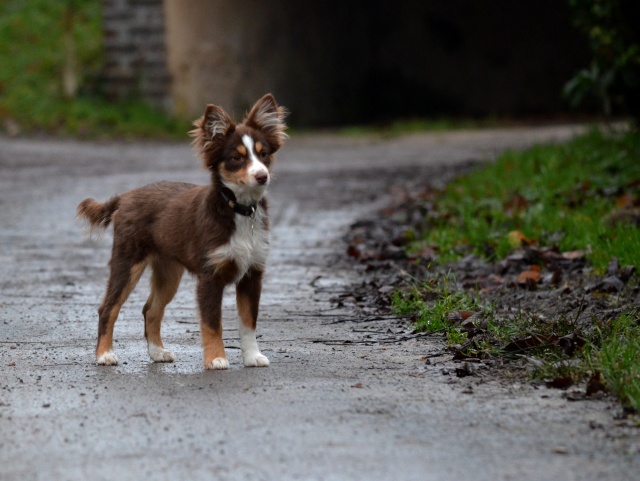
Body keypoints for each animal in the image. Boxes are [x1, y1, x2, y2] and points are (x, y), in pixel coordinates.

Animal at [76, 95, 288, 370]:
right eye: (237, 158)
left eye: (264, 155)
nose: (262, 176)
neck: (238, 210)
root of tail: (126, 196)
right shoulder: (210, 277)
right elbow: (212, 323)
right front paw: (216, 358)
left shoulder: (252, 274)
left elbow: (248, 322)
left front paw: (252, 356)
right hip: (127, 261)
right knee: (108, 308)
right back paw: (105, 355)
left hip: (168, 272)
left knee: (150, 309)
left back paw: (157, 352)